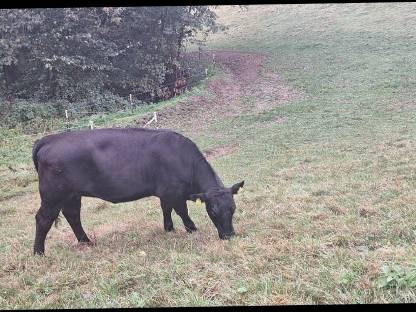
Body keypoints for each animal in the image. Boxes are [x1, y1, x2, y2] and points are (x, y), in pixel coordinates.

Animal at [31, 128, 244, 255]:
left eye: (233, 209)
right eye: (213, 211)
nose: (229, 235)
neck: (183, 159)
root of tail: (49, 139)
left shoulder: (166, 193)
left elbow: (166, 209)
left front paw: (169, 228)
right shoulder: (174, 192)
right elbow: (182, 212)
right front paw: (192, 229)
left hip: (72, 195)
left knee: (72, 215)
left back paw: (86, 241)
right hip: (53, 195)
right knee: (43, 219)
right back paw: (39, 252)